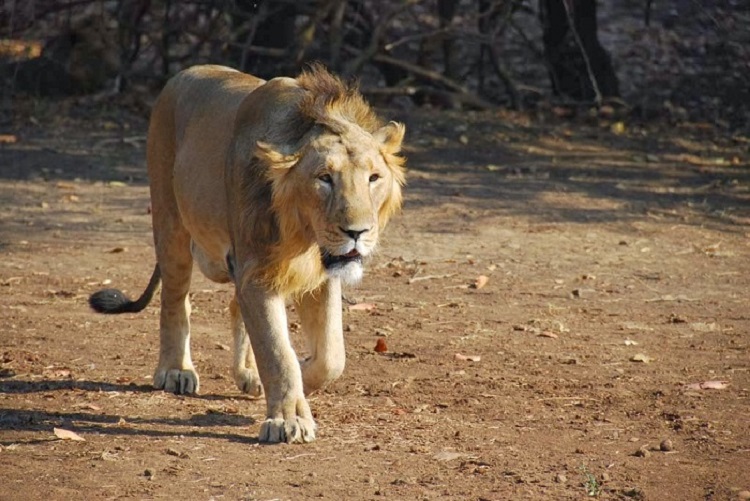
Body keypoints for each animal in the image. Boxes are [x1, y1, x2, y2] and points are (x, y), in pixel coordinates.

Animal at [90, 64, 408, 444]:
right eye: (324, 178)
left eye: (374, 178)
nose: (357, 233)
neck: (303, 236)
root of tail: (184, 74)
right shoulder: (257, 272)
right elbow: (277, 353)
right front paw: (288, 420)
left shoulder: (317, 276)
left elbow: (332, 356)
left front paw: (299, 379)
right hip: (170, 222)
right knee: (175, 300)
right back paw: (176, 370)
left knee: (232, 305)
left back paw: (248, 374)